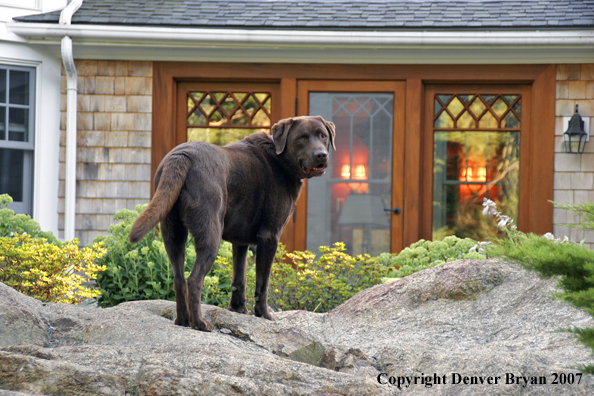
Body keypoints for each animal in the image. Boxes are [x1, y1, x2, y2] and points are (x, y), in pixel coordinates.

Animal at [128, 115, 332, 332]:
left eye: (323, 136)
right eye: (302, 138)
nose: (321, 154)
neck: (280, 158)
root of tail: (181, 157)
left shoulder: (240, 241)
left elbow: (239, 278)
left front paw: (238, 310)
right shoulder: (269, 236)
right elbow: (262, 283)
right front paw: (264, 316)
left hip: (172, 232)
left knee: (179, 278)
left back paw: (183, 320)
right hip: (211, 234)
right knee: (194, 279)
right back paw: (200, 323)